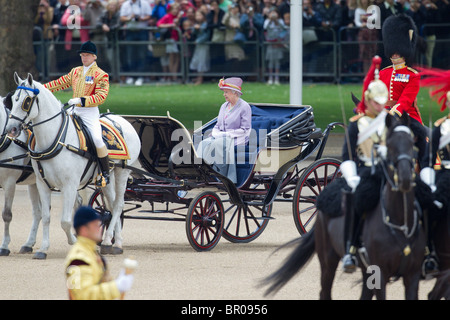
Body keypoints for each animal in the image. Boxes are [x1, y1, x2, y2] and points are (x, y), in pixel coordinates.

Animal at [0, 94, 42, 255]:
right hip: (35, 183)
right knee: (38, 213)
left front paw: (4, 246)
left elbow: (6, 215)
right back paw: (28, 244)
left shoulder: (9, 183)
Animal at [6, 73, 141, 260]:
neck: (55, 139)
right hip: (107, 178)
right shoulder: (42, 184)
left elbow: (65, 220)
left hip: (123, 171)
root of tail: (123, 120)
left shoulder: (69, 185)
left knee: (119, 204)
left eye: (26, 101)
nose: (11, 129)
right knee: (112, 204)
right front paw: (43, 249)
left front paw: (74, 241)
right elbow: (46, 217)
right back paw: (112, 243)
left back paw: (111, 242)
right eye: (12, 100)